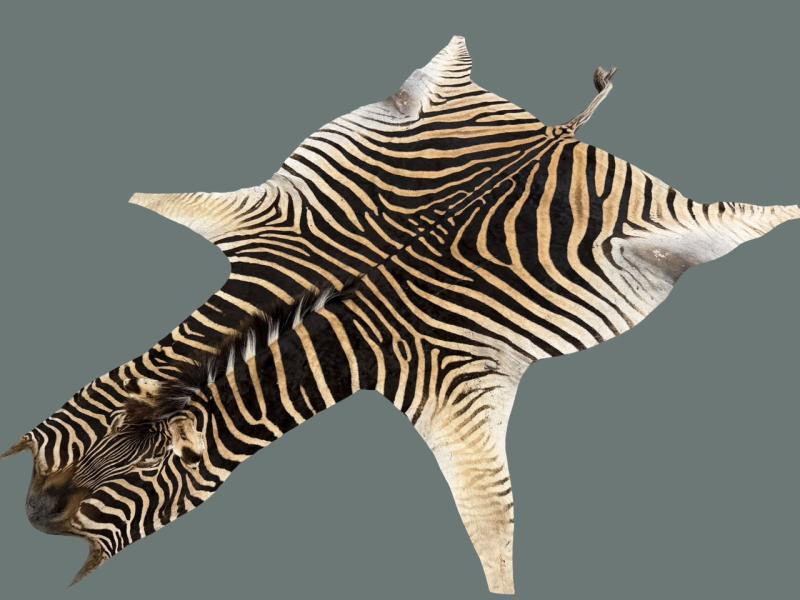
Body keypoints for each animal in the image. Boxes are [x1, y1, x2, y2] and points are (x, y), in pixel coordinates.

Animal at [2, 36, 798, 595]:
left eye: (160, 468)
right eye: (104, 428)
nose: (34, 514)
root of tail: (555, 133)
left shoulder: (452, 380)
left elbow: (489, 512)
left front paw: (502, 583)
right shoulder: (268, 224)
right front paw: (143, 198)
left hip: (673, 226)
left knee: (732, 220)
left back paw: (778, 212)